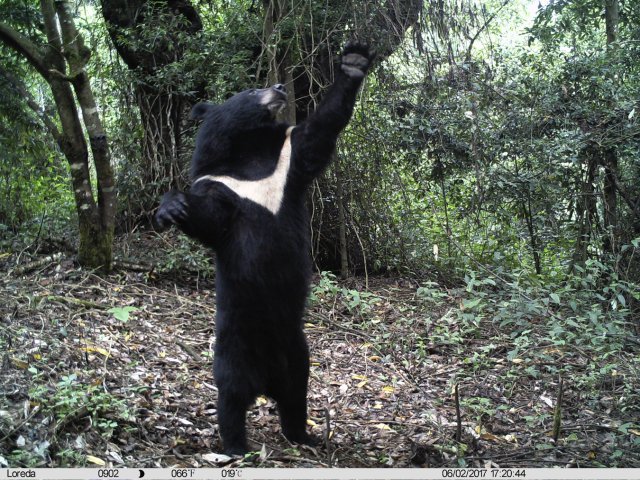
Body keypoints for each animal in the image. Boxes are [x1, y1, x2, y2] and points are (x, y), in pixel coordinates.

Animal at [155, 41, 373, 455]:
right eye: (251, 90)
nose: (279, 85)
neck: (249, 153)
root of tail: (265, 380)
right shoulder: (221, 184)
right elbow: (208, 217)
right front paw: (171, 208)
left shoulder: (287, 163)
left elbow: (319, 131)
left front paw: (353, 62)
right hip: (232, 347)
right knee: (230, 396)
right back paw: (235, 446)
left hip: (298, 352)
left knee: (296, 394)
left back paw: (303, 436)